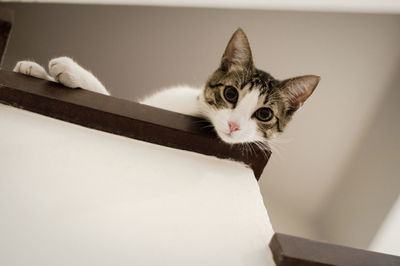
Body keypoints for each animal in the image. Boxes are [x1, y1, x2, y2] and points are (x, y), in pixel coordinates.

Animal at [12, 28, 318, 144]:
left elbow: (103, 92)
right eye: (230, 93)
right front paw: (35, 70)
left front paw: (70, 71)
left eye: (264, 114)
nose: (233, 126)